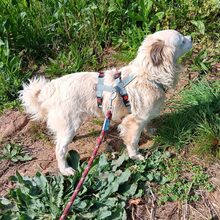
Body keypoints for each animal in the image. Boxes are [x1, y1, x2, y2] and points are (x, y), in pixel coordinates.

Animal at [20, 30, 192, 175]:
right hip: (70, 125)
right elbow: (133, 141)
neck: (149, 75)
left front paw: (149, 131)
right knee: (60, 149)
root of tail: (50, 89)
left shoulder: (143, 116)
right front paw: (135, 156)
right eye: (182, 40)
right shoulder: (133, 121)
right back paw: (66, 170)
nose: (191, 37)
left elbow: (146, 124)